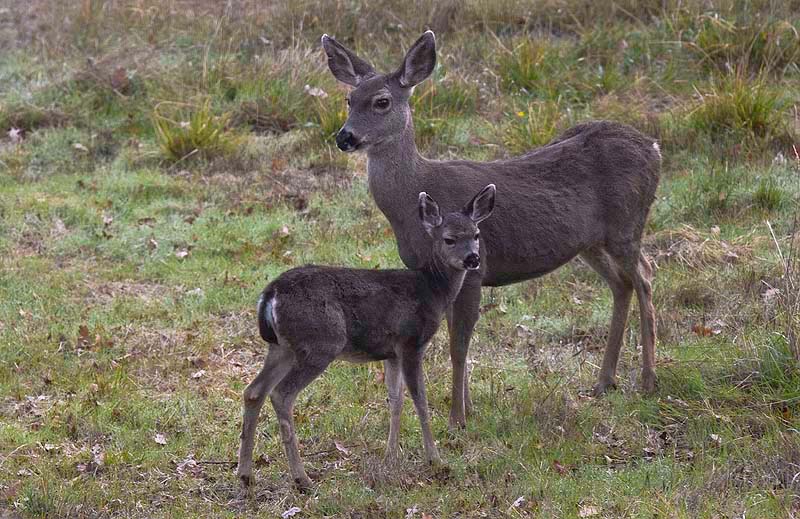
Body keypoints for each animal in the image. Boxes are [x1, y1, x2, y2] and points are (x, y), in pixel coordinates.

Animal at [237, 184, 496, 490]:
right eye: (449, 239)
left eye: (476, 235)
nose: (473, 259)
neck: (432, 291)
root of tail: (270, 294)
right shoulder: (411, 341)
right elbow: (420, 399)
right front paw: (435, 458)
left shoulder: (391, 352)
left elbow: (395, 400)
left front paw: (390, 457)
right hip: (321, 342)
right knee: (281, 394)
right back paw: (302, 479)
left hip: (282, 347)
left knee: (254, 391)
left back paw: (245, 474)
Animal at [321, 31, 662, 429]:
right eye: (348, 99)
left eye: (382, 101)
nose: (345, 137)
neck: (412, 201)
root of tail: (654, 147)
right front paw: (467, 408)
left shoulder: (475, 269)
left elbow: (458, 347)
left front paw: (457, 420)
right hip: (591, 241)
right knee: (622, 284)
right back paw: (604, 382)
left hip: (627, 222)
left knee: (645, 277)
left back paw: (648, 380)